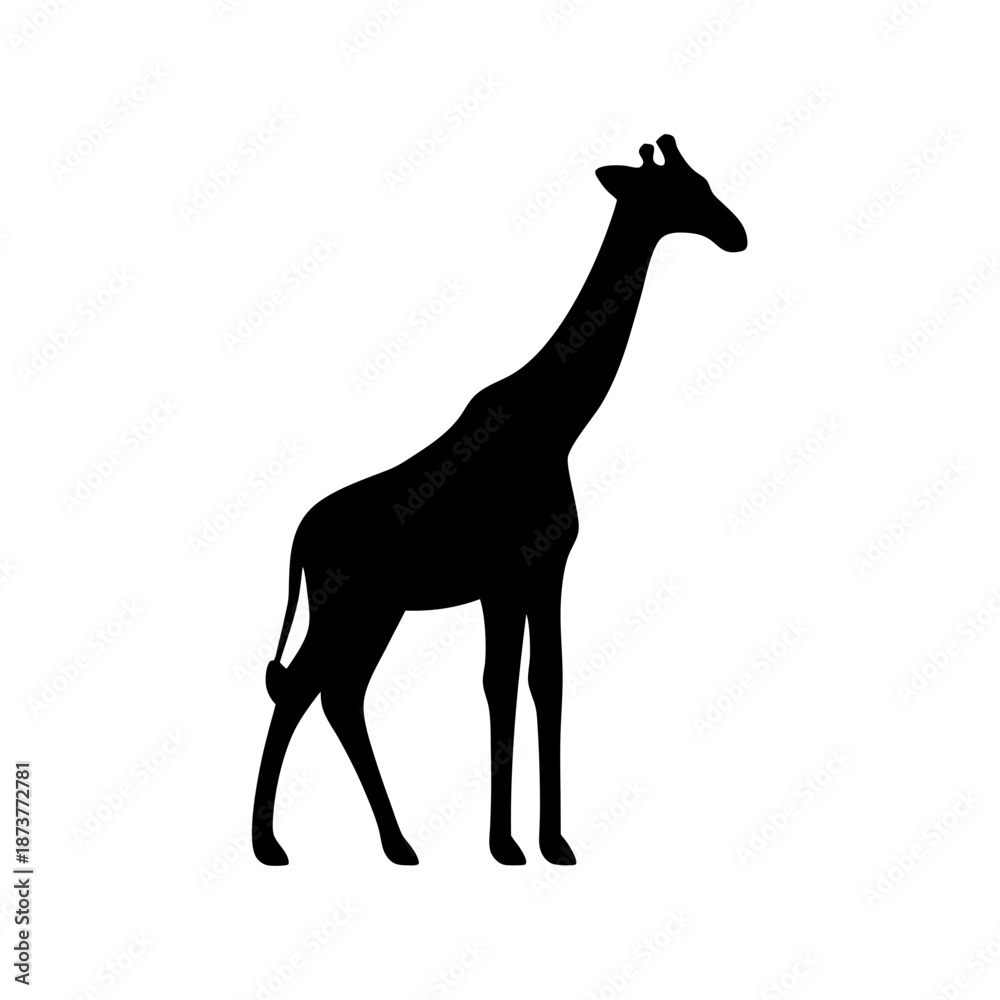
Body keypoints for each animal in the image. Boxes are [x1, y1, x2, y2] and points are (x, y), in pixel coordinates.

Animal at [251, 133, 747, 867]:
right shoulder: (511, 575)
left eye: (704, 182)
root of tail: (299, 540)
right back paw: (272, 845)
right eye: (676, 191)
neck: (560, 422)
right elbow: (504, 684)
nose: (735, 233)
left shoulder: (539, 572)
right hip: (351, 605)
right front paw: (507, 844)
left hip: (377, 609)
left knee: (335, 694)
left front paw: (551, 841)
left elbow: (544, 681)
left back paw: (396, 842)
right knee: (302, 692)